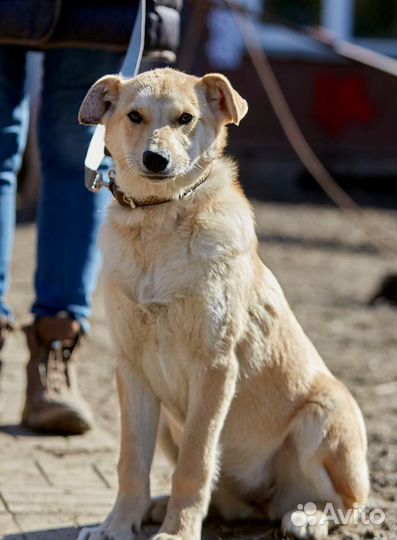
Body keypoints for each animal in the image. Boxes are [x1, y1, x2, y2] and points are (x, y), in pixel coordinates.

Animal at [76, 68, 368, 540]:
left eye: (186, 118)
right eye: (134, 116)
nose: (155, 160)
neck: (159, 221)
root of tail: (265, 499)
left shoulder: (214, 366)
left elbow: (194, 465)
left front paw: (177, 532)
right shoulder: (132, 369)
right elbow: (131, 462)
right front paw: (117, 524)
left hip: (325, 413)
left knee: (347, 503)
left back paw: (306, 516)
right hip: (169, 425)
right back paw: (161, 507)